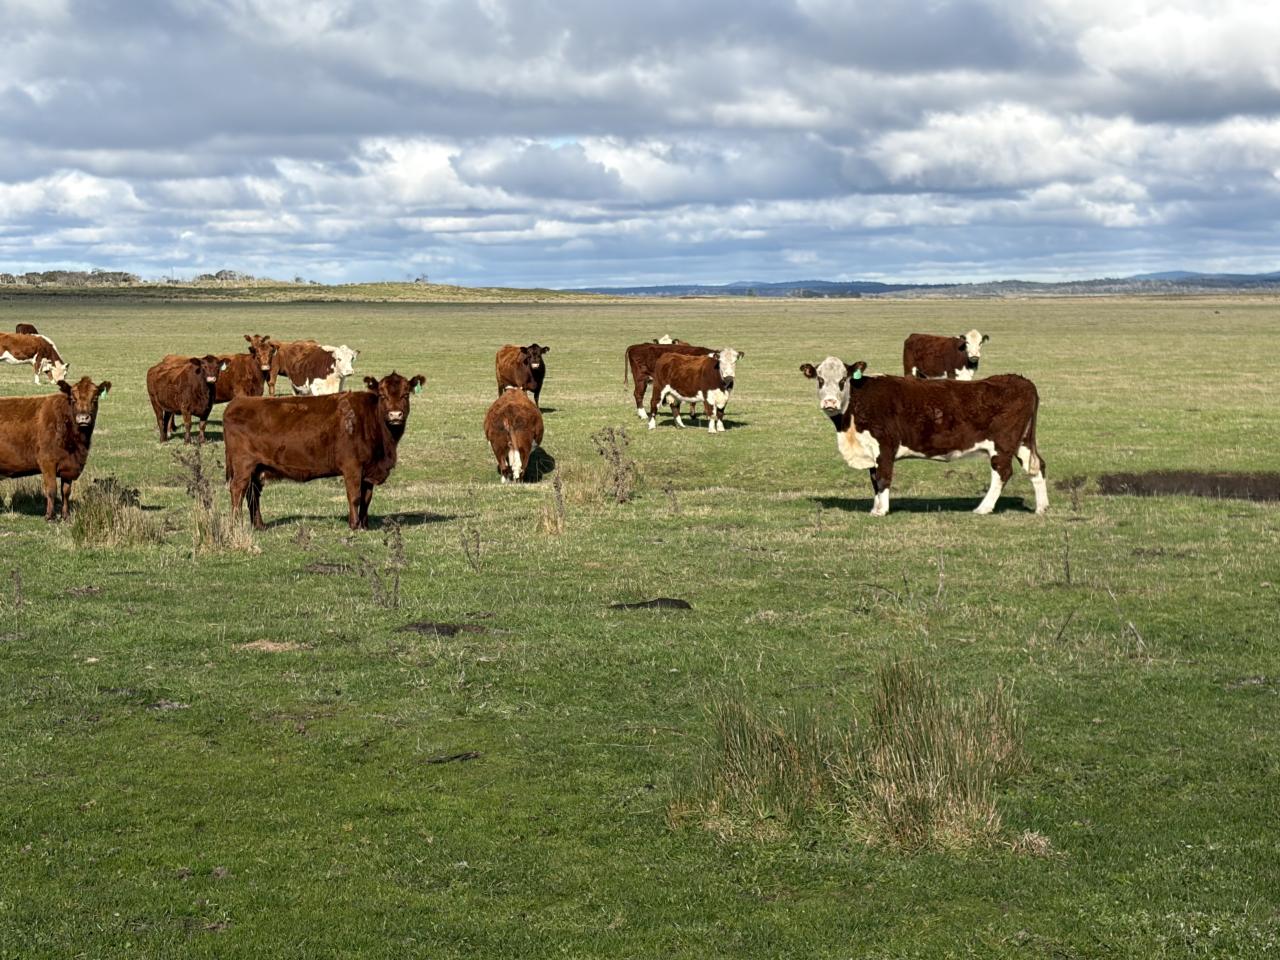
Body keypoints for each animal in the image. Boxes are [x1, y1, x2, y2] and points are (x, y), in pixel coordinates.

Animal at [0, 377, 111, 520]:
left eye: (95, 398)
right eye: (73, 398)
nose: (83, 417)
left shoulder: (68, 466)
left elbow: (66, 491)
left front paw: (65, 515)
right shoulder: (47, 462)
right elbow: (52, 490)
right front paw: (50, 516)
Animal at [224, 371, 425, 530]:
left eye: (406, 394)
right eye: (382, 395)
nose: (395, 415)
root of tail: (238, 402)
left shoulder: (369, 470)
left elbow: (366, 499)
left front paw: (364, 525)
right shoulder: (352, 467)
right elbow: (355, 496)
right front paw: (354, 526)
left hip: (257, 468)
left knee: (252, 494)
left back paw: (259, 525)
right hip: (243, 465)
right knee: (237, 490)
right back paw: (236, 525)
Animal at [800, 357, 1047, 516]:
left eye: (843, 380)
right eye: (820, 379)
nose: (829, 402)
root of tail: (1019, 380)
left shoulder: (885, 446)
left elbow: (883, 478)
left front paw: (881, 511)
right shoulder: (870, 450)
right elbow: (874, 480)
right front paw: (875, 507)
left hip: (1002, 445)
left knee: (1002, 472)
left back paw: (983, 508)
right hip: (1022, 442)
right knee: (1037, 467)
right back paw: (1042, 508)